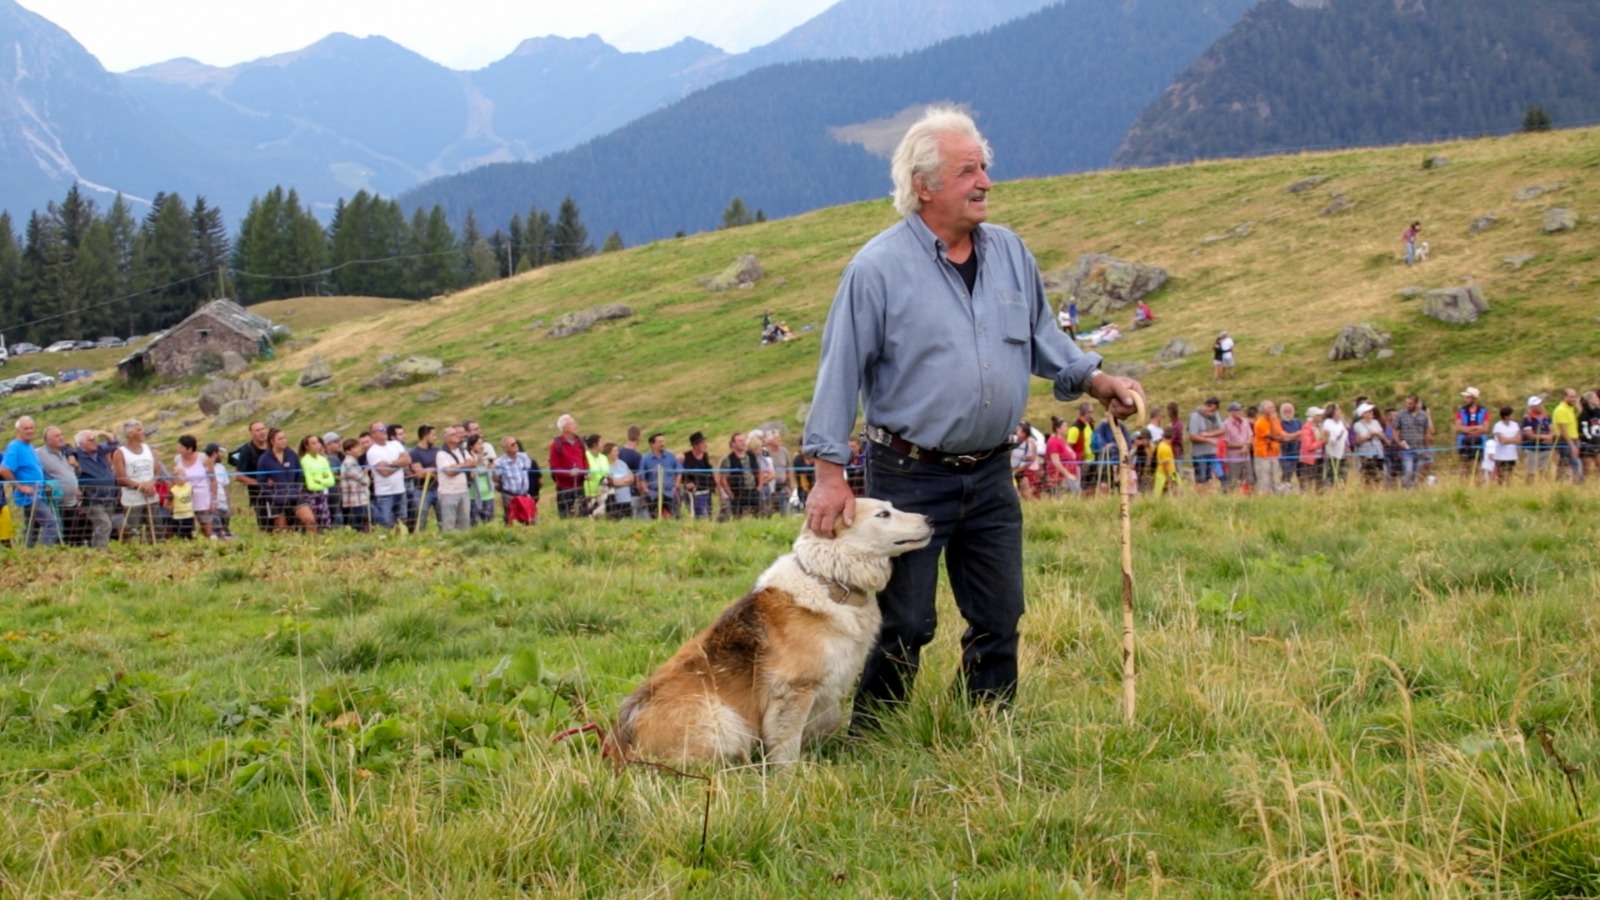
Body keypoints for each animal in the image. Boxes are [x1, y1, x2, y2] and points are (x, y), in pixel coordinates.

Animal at [611, 493, 934, 759]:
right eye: (883, 514)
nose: (931, 519)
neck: (829, 580)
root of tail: (619, 744)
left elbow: (822, 724)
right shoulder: (793, 691)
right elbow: (786, 746)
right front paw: (788, 781)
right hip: (725, 721)